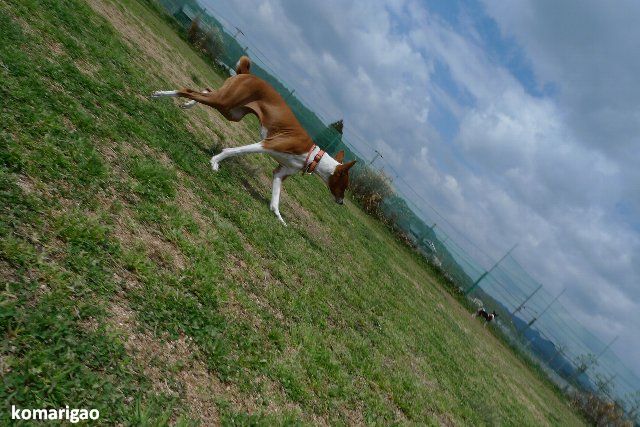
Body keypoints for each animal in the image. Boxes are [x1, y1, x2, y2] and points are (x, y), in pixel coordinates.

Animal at [151, 56, 356, 225]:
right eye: (345, 186)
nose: (341, 202)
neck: (314, 156)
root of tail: (249, 75)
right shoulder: (267, 144)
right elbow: (235, 151)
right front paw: (215, 162)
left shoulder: (280, 173)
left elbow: (276, 199)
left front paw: (279, 218)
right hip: (225, 102)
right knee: (187, 90)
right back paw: (161, 94)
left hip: (230, 110)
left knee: (204, 90)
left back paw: (187, 104)